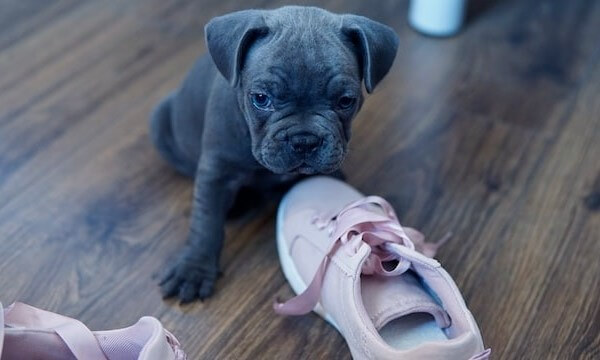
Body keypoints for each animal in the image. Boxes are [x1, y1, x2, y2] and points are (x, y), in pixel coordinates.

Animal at [150, 6, 398, 304]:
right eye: (261, 98)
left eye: (345, 101)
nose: (304, 140)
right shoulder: (217, 171)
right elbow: (206, 221)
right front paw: (194, 269)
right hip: (160, 123)